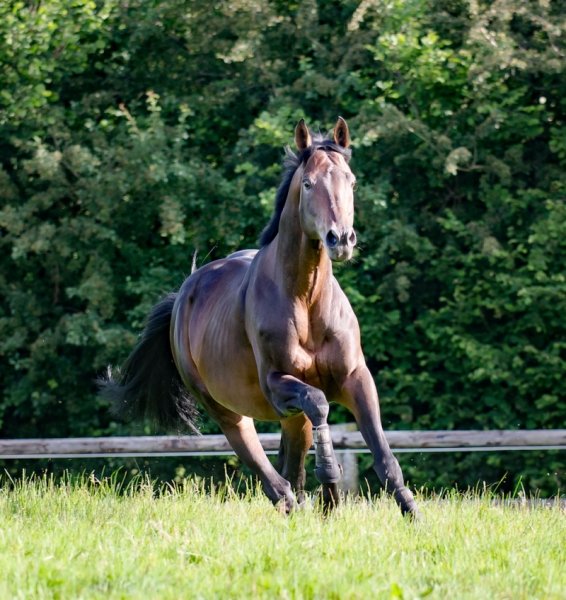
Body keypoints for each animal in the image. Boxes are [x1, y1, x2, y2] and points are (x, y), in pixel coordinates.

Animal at [101, 117, 419, 517]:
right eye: (309, 183)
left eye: (351, 180)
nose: (340, 239)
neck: (306, 300)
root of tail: (182, 297)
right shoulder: (277, 385)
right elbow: (319, 403)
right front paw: (330, 479)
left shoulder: (355, 378)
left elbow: (382, 451)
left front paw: (410, 511)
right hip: (227, 410)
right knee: (270, 473)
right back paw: (297, 502)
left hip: (288, 418)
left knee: (292, 465)